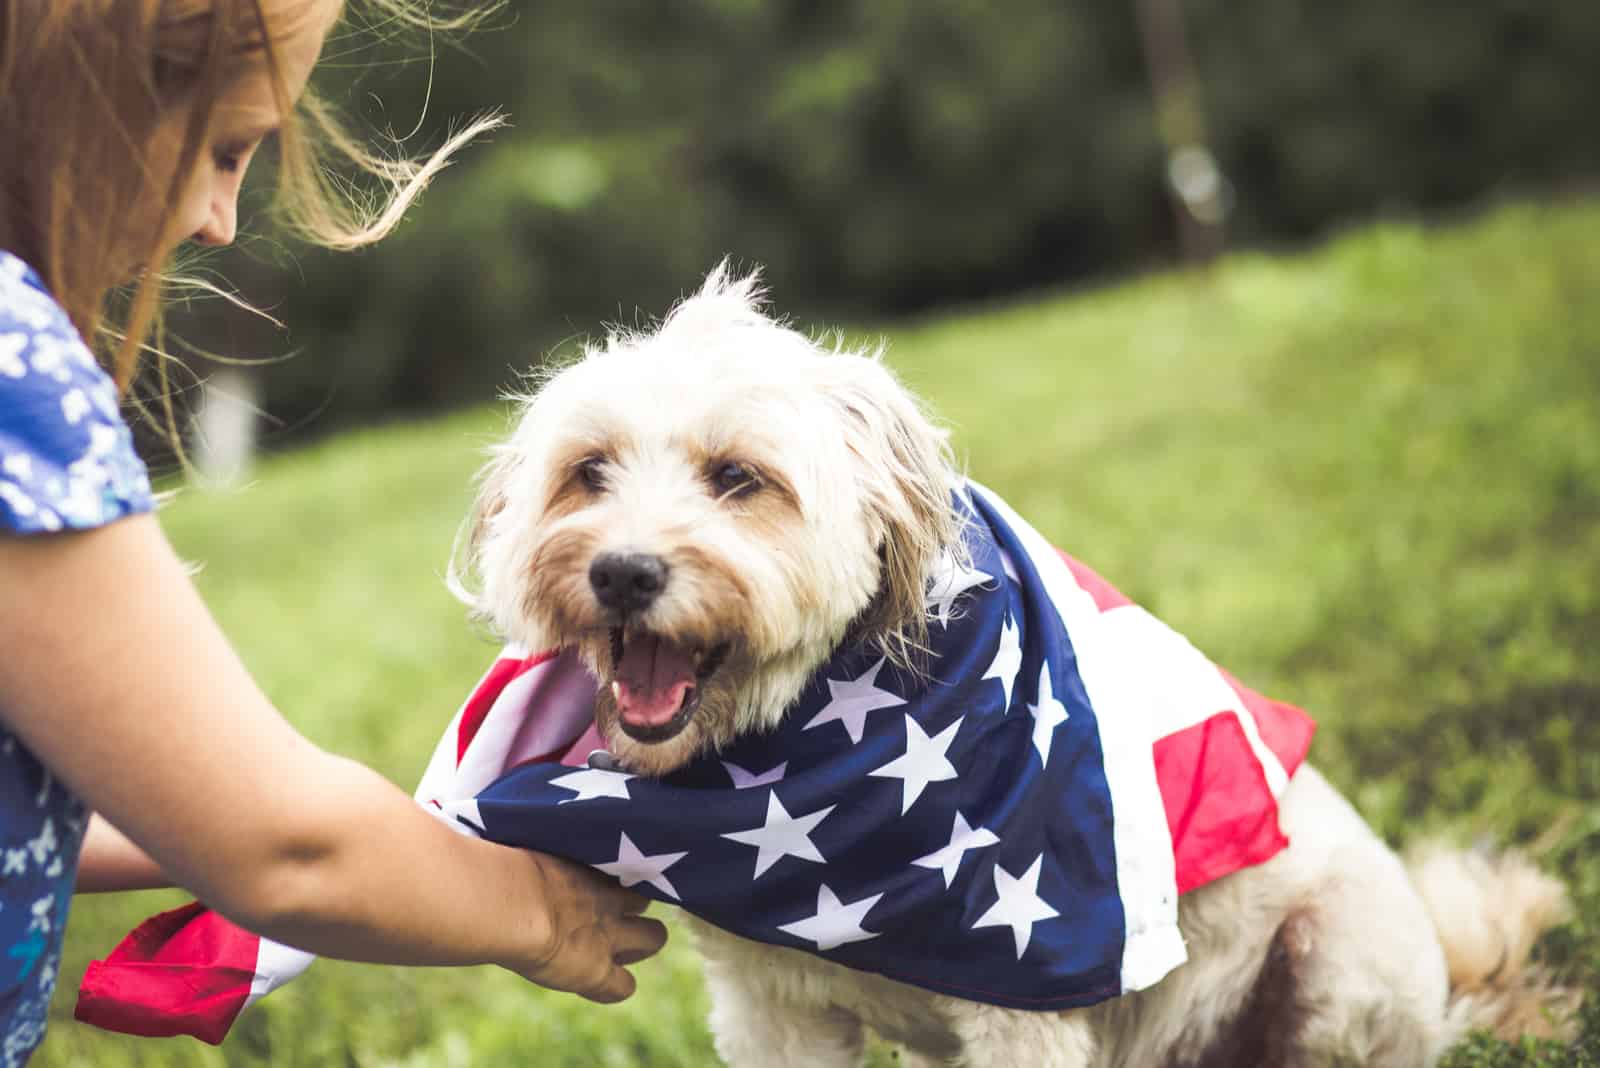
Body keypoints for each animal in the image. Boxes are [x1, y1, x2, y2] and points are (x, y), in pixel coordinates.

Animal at [457, 267, 1580, 1068]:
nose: (622, 571)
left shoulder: (1028, 991)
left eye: (739, 478)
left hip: (1339, 967)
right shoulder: (771, 1010)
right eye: (587, 473)